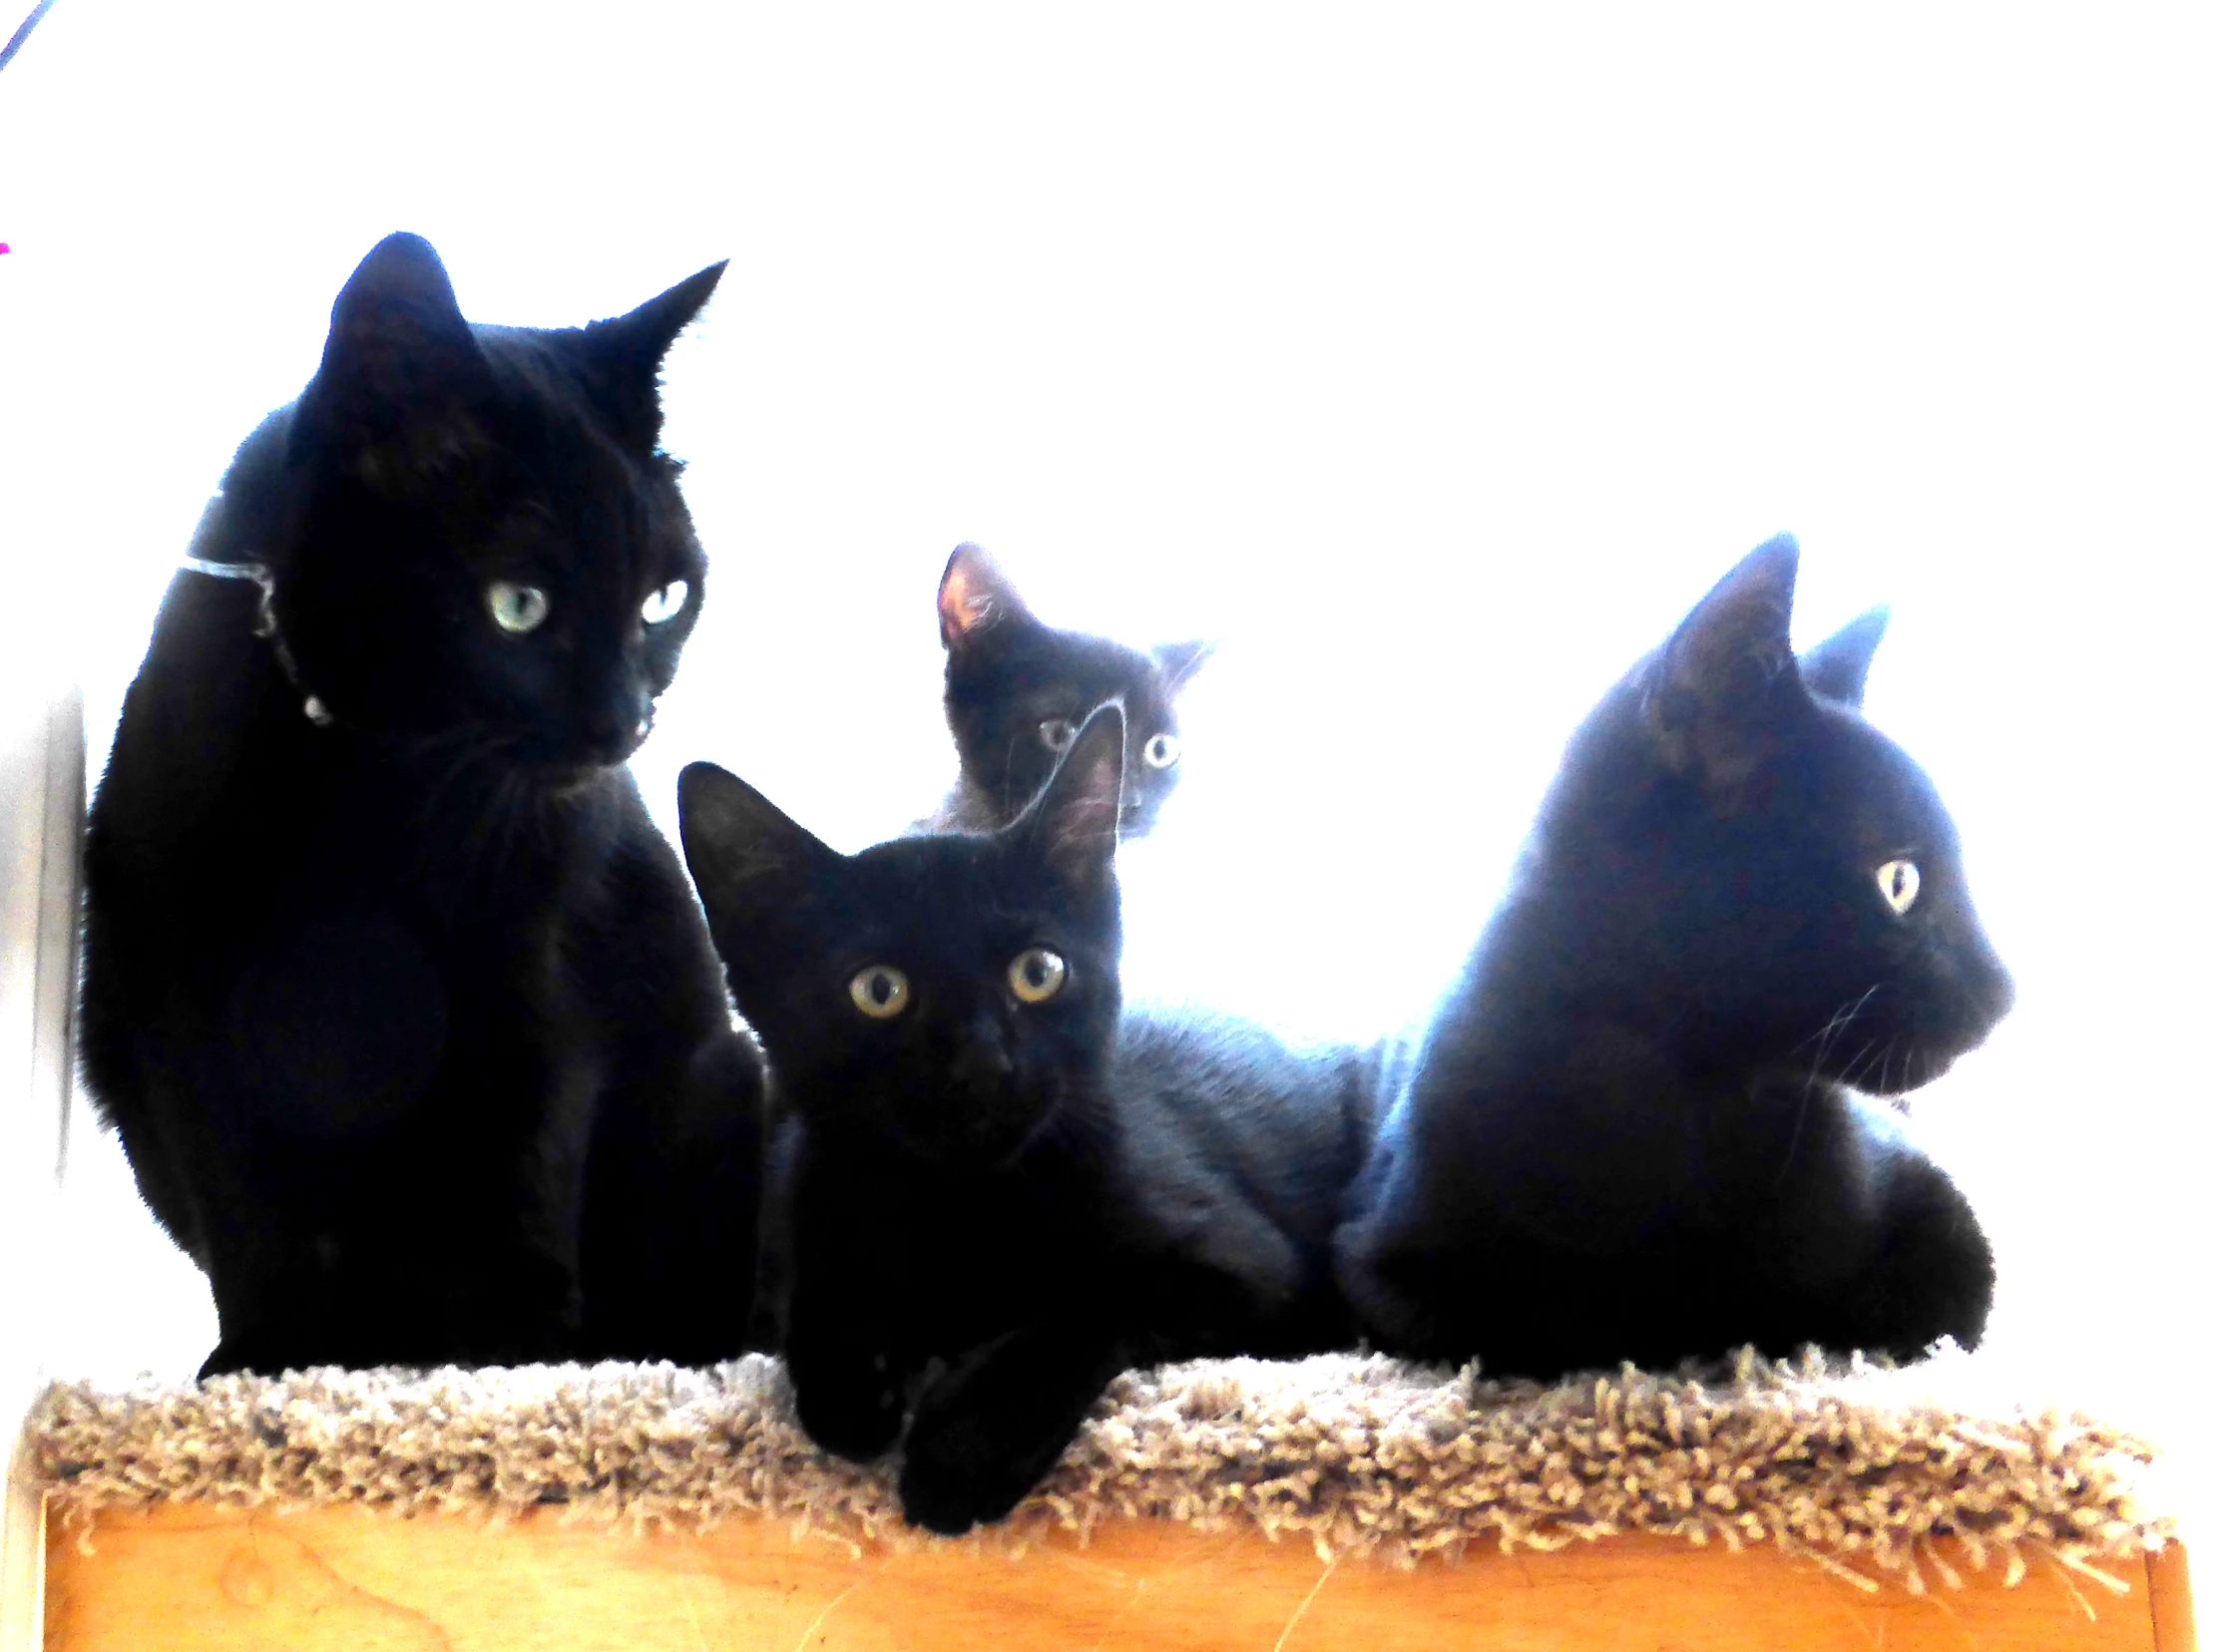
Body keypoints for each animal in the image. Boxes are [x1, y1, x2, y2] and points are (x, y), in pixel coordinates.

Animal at [80, 224, 763, 1377]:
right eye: (518, 606)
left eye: (663, 601)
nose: (623, 724)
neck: (389, 786)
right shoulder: (182, 997)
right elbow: (250, 1206)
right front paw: (271, 1361)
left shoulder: (537, 986)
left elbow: (517, 1182)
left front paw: (505, 1371)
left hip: (722, 1080)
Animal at [678, 701, 1367, 1527]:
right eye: (878, 990)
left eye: (1038, 972)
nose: (983, 1063)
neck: (959, 1210)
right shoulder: (807, 1203)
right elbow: (816, 1323)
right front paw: (854, 1383)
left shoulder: (1258, 1272)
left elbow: (1095, 1299)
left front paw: (965, 1445)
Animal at [1332, 535, 2015, 1377]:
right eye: (1898, 882)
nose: (2005, 994)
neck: (1687, 1100)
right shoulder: (1374, 1260)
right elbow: (1518, 1327)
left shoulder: (1944, 1222)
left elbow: (1879, 1317)